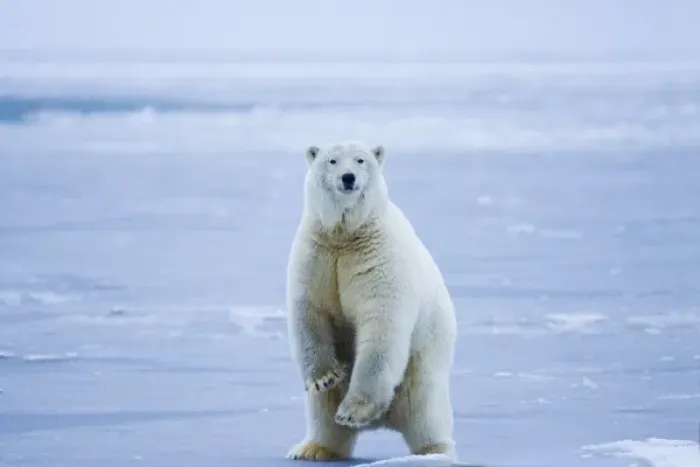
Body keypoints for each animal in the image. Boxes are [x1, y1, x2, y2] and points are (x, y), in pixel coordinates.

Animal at [285, 141, 458, 462]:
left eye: (361, 160)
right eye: (332, 160)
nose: (348, 177)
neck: (345, 235)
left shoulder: (378, 259)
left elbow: (381, 325)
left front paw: (353, 411)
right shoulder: (316, 253)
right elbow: (310, 310)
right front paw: (324, 377)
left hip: (424, 365)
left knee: (427, 412)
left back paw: (432, 452)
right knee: (323, 413)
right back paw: (311, 448)